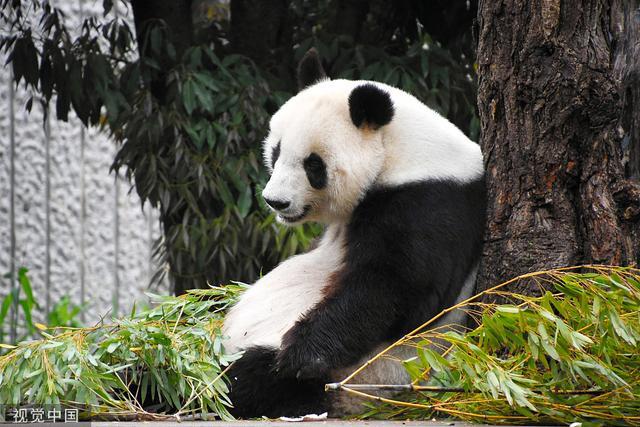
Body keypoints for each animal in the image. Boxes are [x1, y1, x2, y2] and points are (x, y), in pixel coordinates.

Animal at [221, 49, 484, 418]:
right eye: (276, 151)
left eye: (313, 165)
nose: (275, 201)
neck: (400, 153)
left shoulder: (431, 203)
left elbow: (397, 288)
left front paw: (301, 355)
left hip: (369, 374)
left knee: (246, 380)